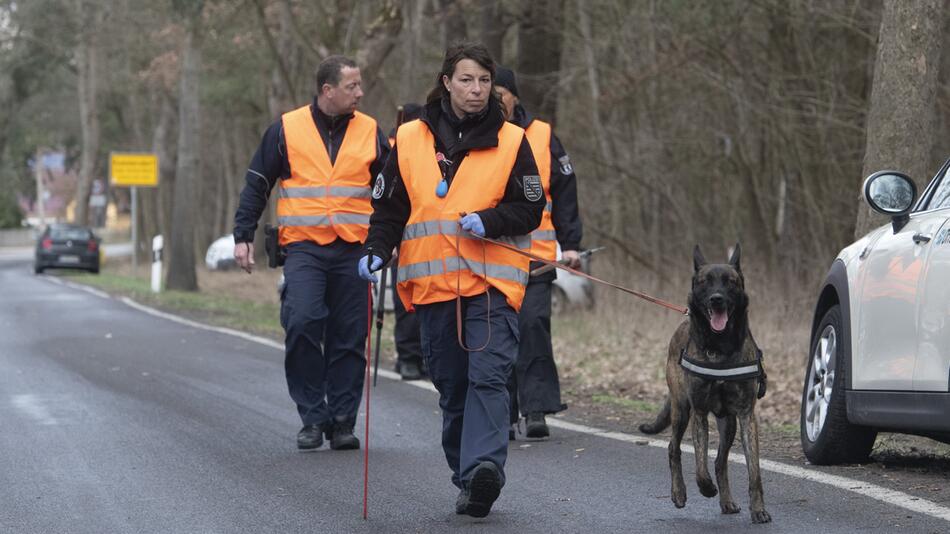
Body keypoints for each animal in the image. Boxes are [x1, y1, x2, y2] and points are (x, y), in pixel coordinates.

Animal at [640, 245, 772, 524]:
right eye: (704, 282)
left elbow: (754, 472)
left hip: (728, 423)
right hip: (681, 410)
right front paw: (705, 487)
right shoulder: (699, 413)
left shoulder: (746, 416)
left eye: (730, 282)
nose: (716, 299)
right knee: (674, 448)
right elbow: (700, 463)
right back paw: (679, 492)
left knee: (720, 462)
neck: (720, 346)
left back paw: (727, 501)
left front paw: (758, 509)